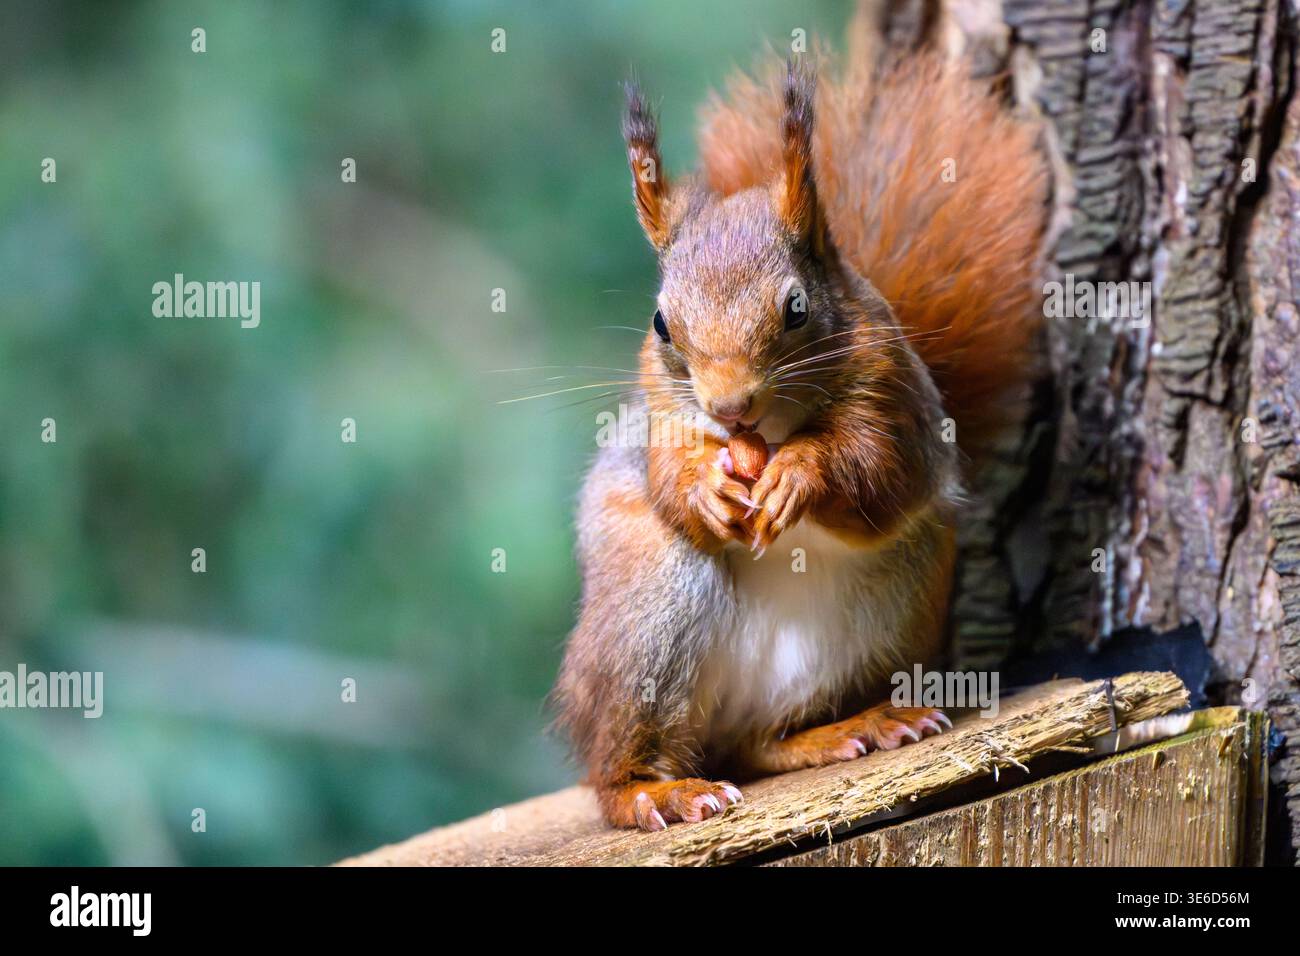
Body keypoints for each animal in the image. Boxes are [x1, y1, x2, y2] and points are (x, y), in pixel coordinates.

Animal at [551, 7, 1048, 831]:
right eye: (661, 324)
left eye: (796, 309)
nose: (729, 408)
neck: (770, 431)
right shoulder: (661, 417)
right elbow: (664, 476)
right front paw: (704, 490)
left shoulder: (897, 396)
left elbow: (884, 470)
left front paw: (802, 475)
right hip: (650, 611)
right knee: (619, 767)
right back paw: (656, 791)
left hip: (890, 608)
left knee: (761, 745)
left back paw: (853, 727)